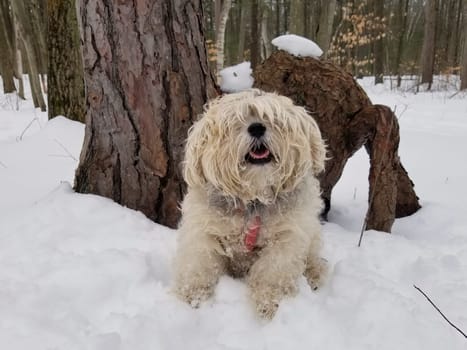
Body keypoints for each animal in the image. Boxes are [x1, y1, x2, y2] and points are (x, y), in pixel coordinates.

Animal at [173, 89, 330, 318]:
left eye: (272, 118)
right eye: (235, 121)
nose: (257, 127)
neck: (253, 201)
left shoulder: (286, 239)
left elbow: (272, 273)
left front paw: (269, 304)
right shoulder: (204, 232)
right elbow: (200, 264)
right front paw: (192, 296)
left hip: (312, 236)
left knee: (314, 257)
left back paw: (316, 273)